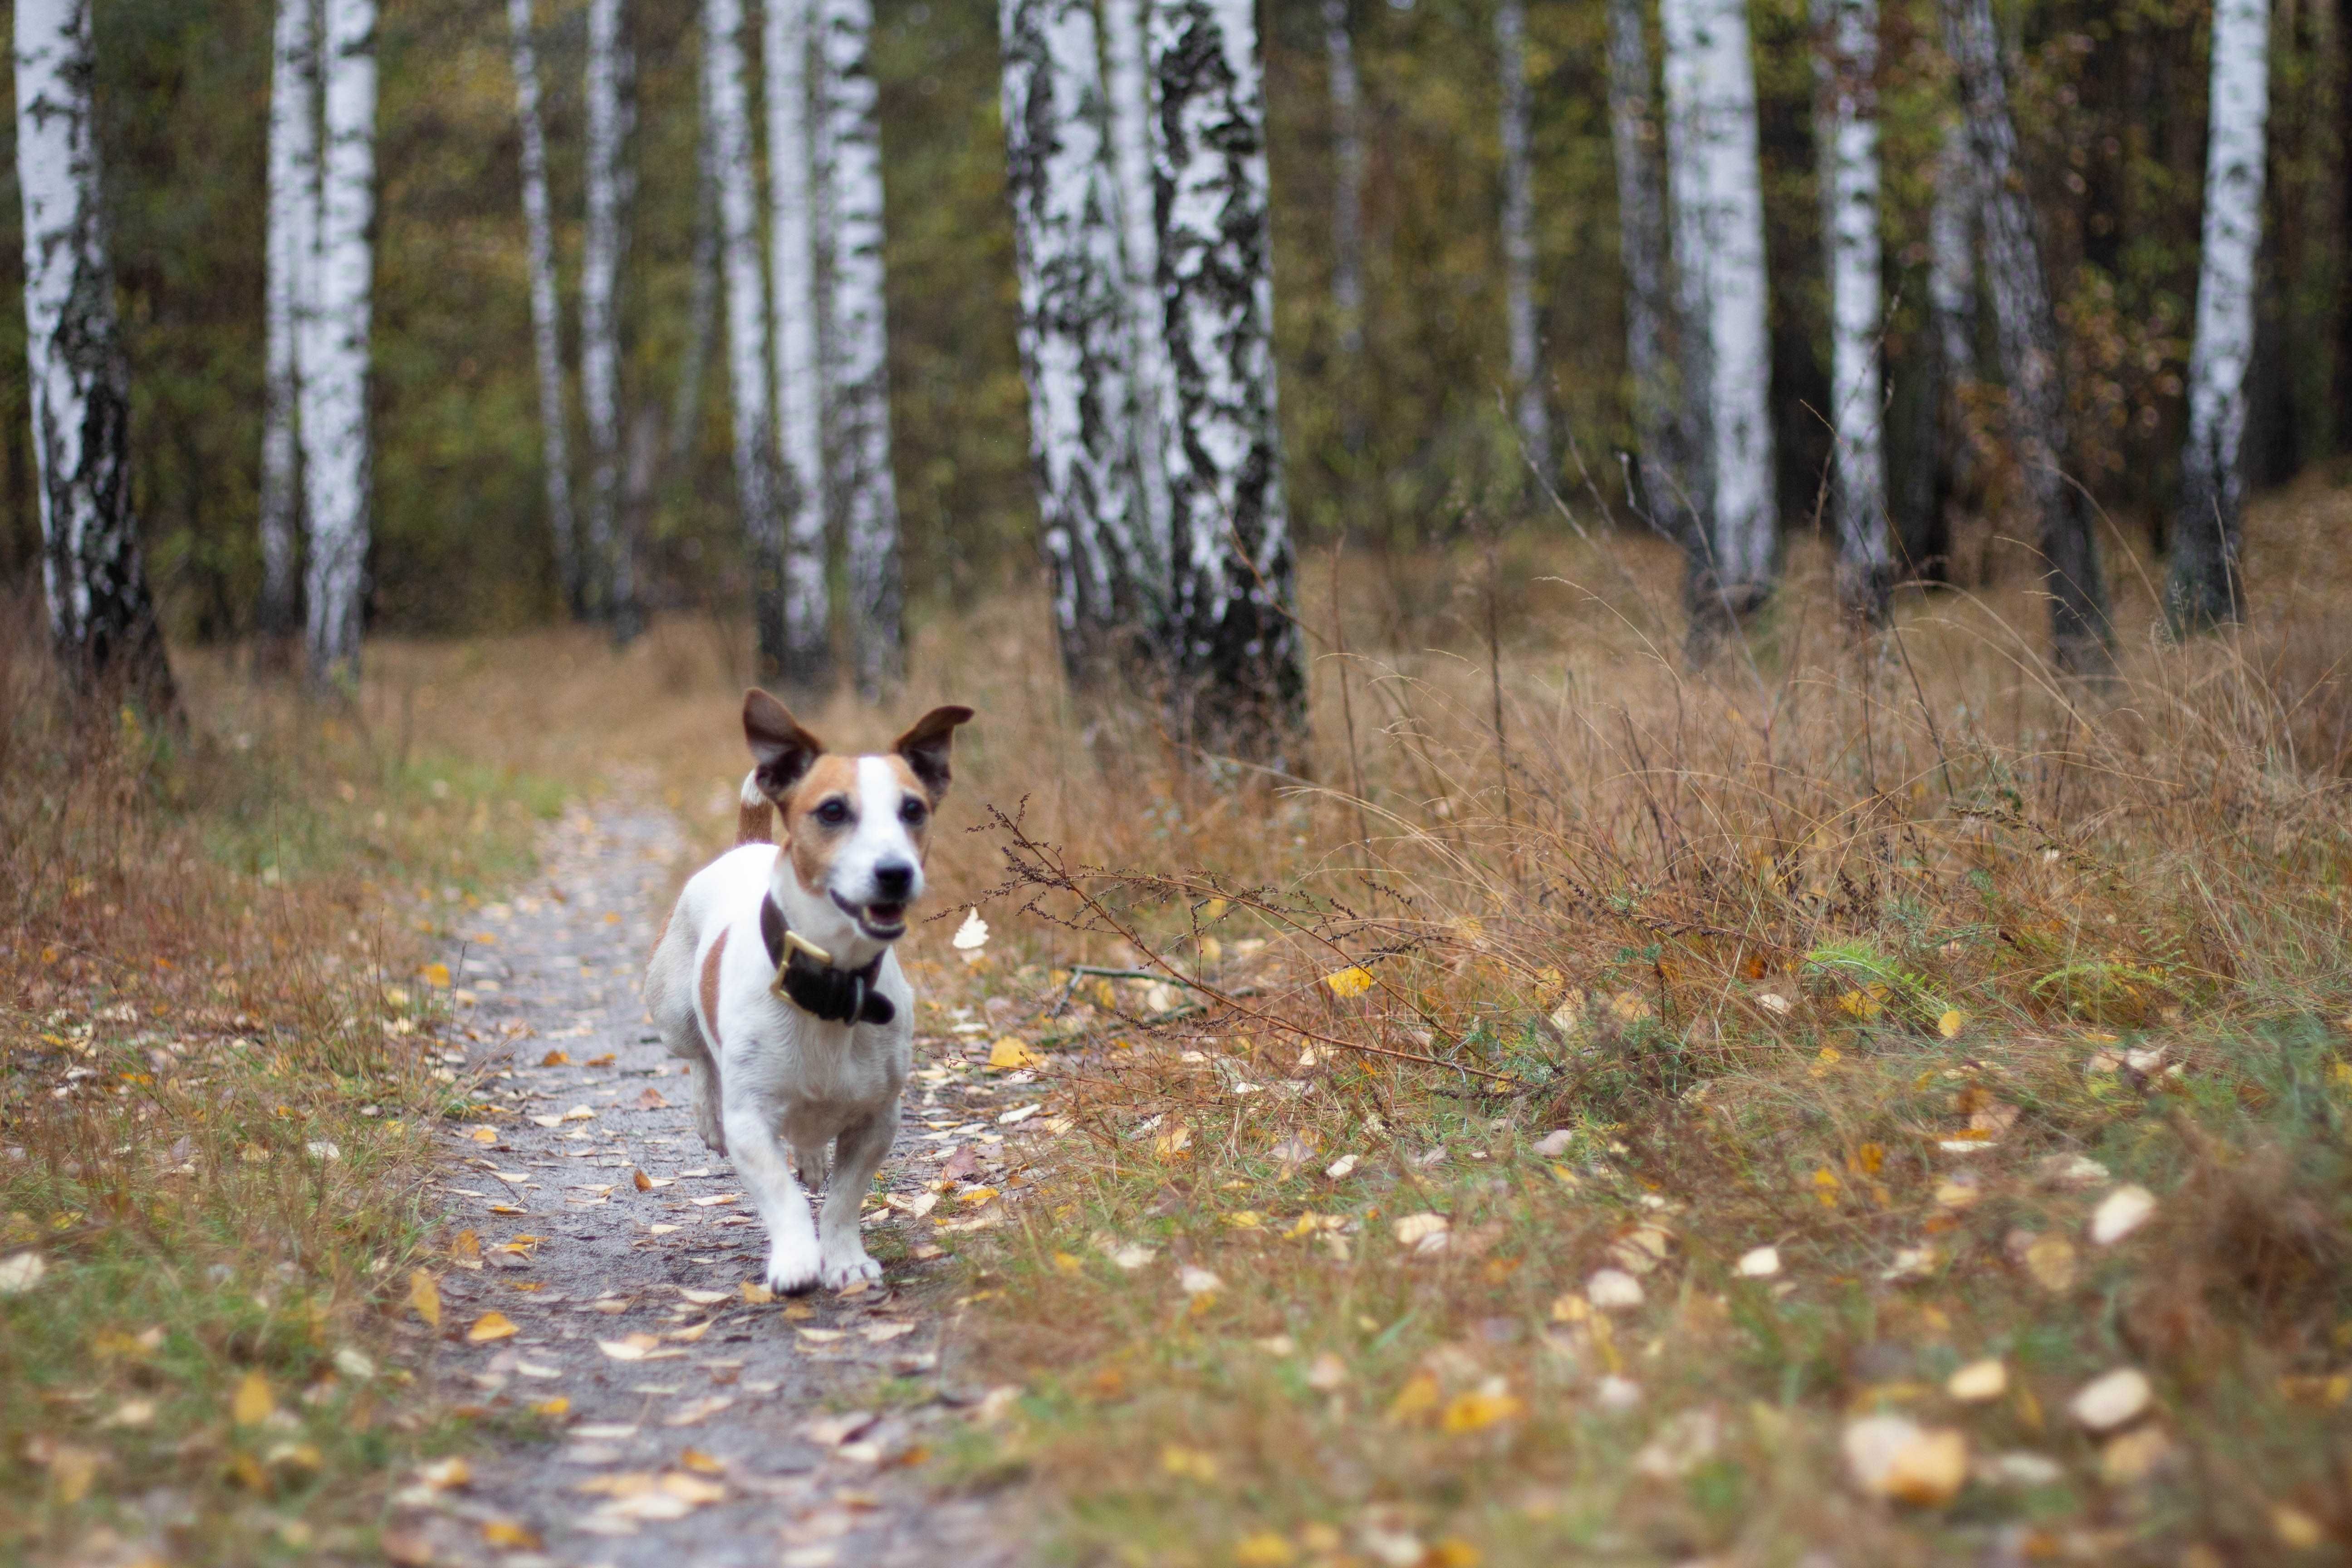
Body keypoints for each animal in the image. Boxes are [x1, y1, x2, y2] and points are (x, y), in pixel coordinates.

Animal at [644, 691, 974, 1298]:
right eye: (833, 811)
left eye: (914, 810)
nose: (895, 872)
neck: (831, 988)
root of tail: (749, 845)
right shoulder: (752, 1122)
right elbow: (782, 1196)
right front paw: (797, 1260)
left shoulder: (877, 1122)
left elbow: (843, 1199)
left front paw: (845, 1259)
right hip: (673, 1011)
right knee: (699, 1056)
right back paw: (707, 1114)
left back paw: (814, 1157)